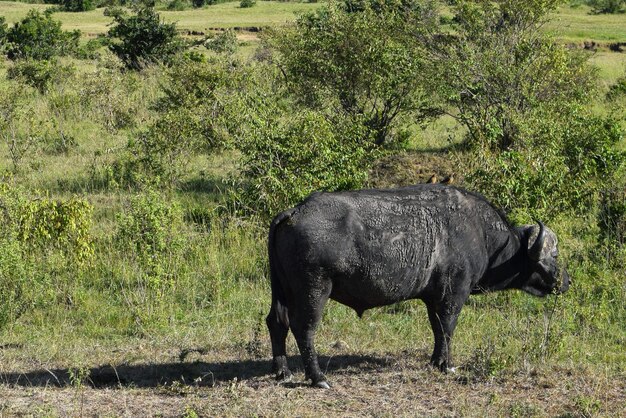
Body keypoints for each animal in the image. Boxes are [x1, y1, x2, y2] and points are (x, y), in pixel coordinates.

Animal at [266, 185, 568, 388]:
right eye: (554, 255)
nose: (566, 281)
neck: (481, 234)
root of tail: (294, 211)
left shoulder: (432, 298)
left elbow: (437, 329)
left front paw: (436, 361)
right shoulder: (453, 294)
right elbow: (448, 328)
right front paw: (447, 364)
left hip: (282, 291)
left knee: (277, 322)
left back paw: (283, 371)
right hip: (314, 291)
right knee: (304, 328)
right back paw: (317, 377)